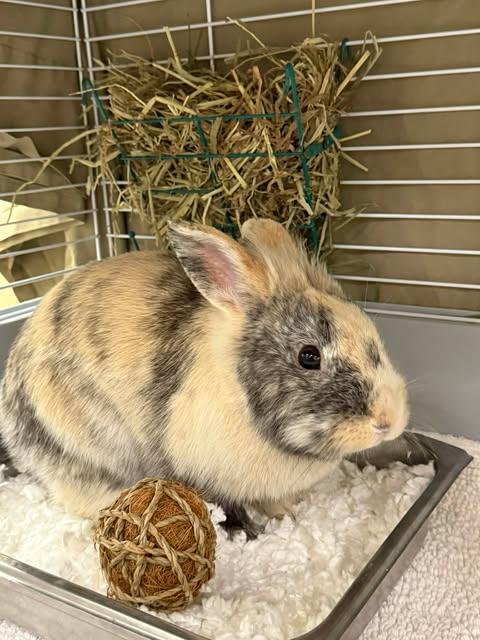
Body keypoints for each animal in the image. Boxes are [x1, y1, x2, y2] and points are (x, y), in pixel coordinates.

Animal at [0, 219, 412, 538]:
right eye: (308, 356)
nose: (387, 422)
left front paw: (287, 515)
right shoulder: (205, 476)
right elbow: (230, 507)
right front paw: (250, 534)